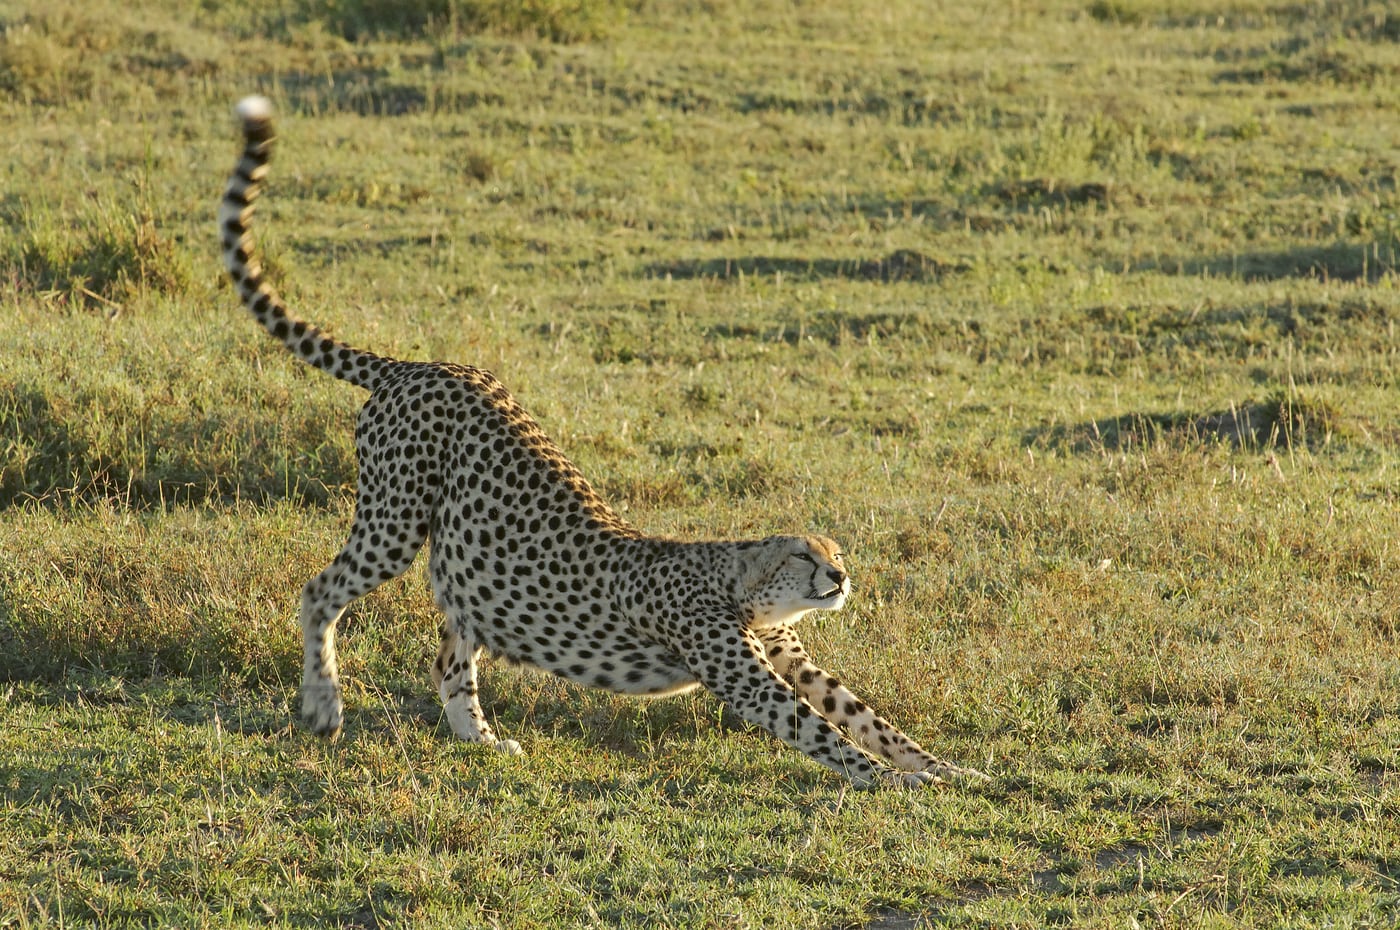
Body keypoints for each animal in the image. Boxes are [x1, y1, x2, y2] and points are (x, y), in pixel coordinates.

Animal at [218, 95, 987, 789]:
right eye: (804, 554)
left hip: (464, 560)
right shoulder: (741, 669)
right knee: (320, 591)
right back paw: (323, 706)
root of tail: (425, 365)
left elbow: (866, 716)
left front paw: (949, 768)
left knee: (449, 654)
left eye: (838, 552)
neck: (744, 582)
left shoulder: (786, 652)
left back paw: (479, 740)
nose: (841, 578)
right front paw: (892, 781)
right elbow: (820, 729)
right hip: (393, 521)